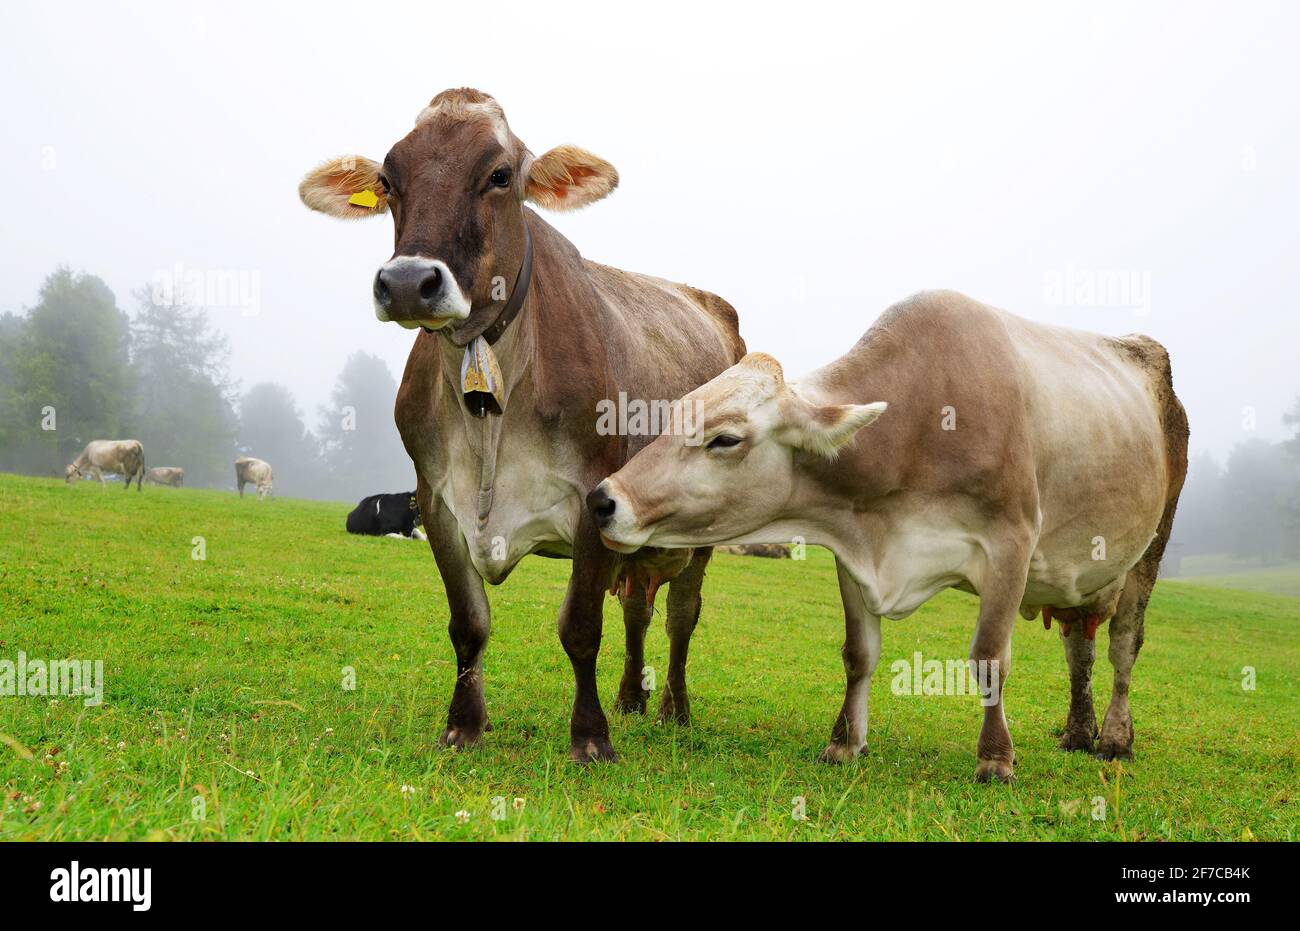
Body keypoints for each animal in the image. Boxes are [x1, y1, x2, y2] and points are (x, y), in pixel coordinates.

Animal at [299, 88, 745, 762]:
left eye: (500, 176)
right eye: (387, 180)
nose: (406, 282)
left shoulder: (593, 500)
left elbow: (581, 628)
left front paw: (591, 737)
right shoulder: (436, 500)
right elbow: (468, 624)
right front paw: (464, 724)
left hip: (703, 532)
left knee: (681, 615)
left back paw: (673, 708)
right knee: (638, 611)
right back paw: (631, 699)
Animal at [589, 291, 1188, 782]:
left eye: (725, 438)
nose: (604, 500)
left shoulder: (1011, 544)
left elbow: (989, 657)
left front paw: (995, 758)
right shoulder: (853, 553)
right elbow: (859, 653)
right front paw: (844, 743)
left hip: (1148, 551)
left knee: (1123, 646)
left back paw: (1113, 738)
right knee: (1079, 646)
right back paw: (1078, 732)